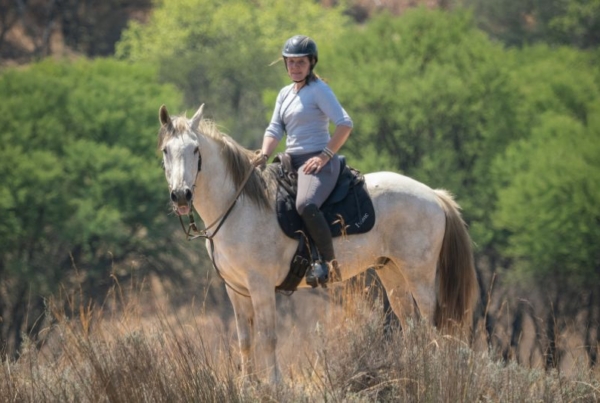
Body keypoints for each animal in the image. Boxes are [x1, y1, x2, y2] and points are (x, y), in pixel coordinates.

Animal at [158, 104, 478, 386]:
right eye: (165, 151)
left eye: (195, 150)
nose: (181, 195)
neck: (238, 206)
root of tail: (434, 195)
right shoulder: (236, 290)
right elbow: (245, 340)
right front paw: (247, 386)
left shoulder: (261, 286)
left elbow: (268, 337)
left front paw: (274, 386)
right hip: (392, 273)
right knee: (412, 327)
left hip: (419, 275)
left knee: (431, 323)